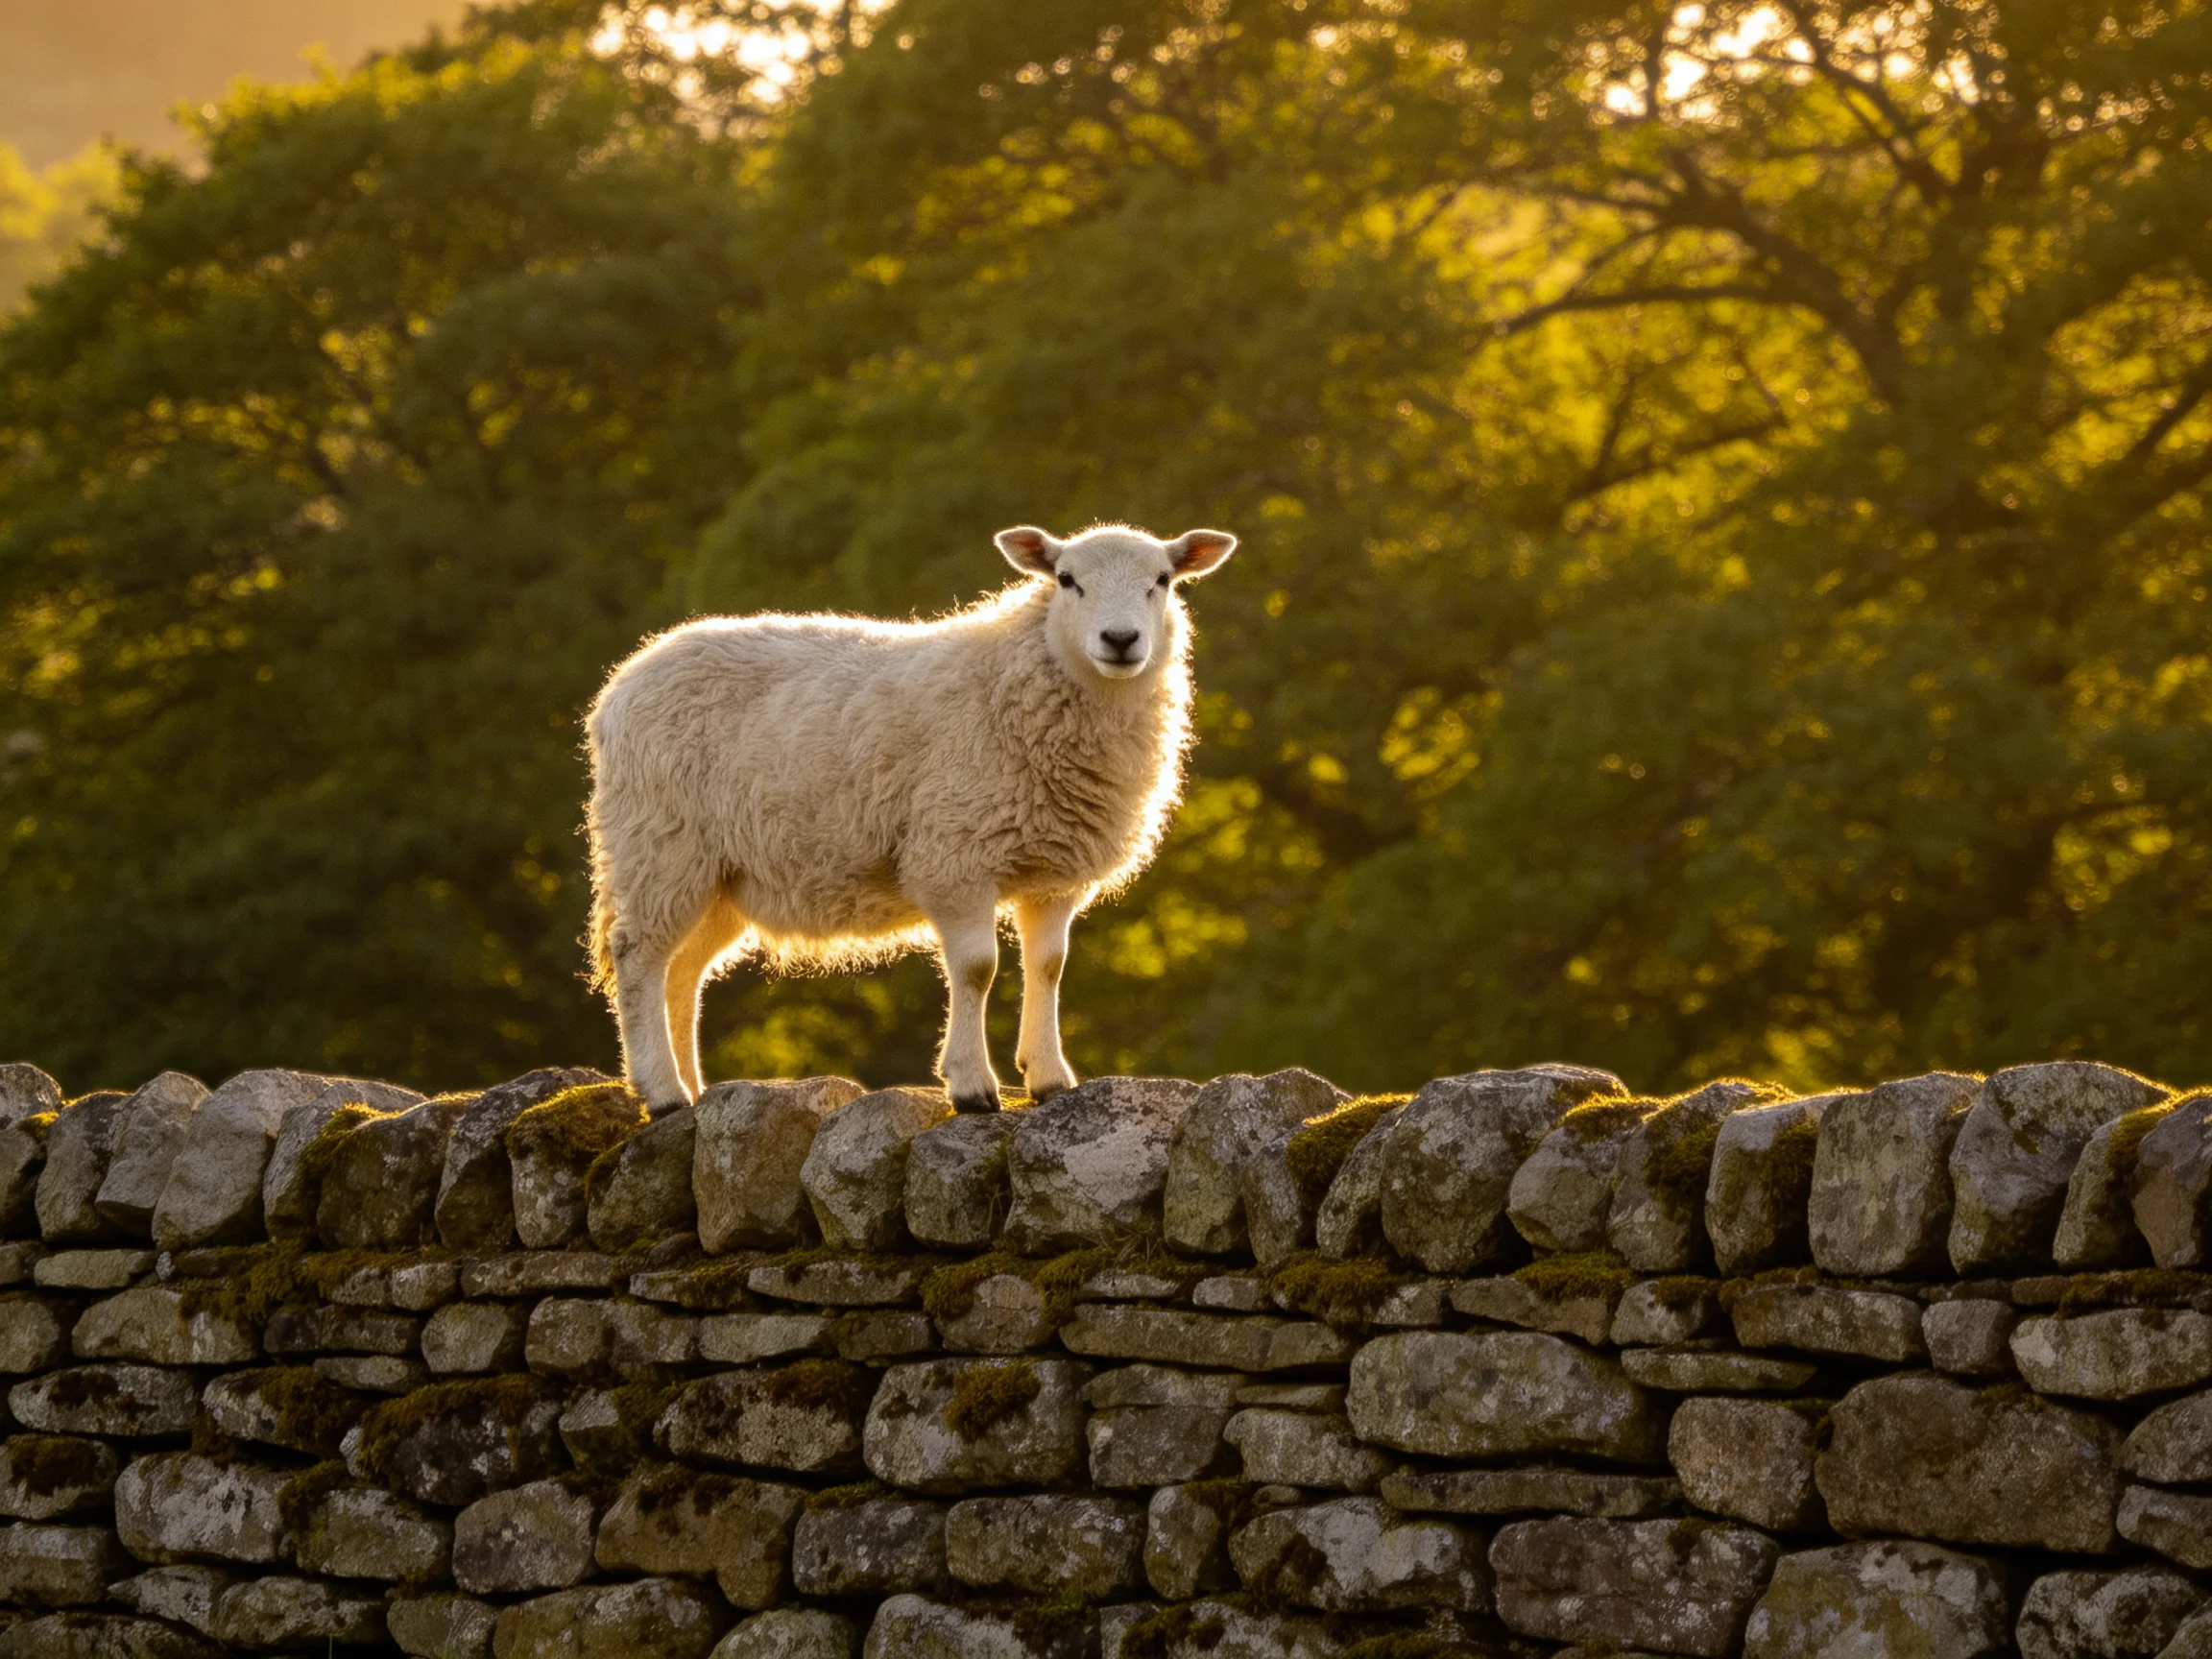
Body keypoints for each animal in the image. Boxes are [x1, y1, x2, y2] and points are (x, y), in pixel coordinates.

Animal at [584, 521, 1239, 1111]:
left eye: (1162, 580)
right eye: (1067, 580)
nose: (1121, 639)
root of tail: (622, 684)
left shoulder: (1054, 874)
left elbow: (1048, 967)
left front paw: (1050, 1078)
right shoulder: (955, 854)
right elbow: (976, 969)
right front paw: (972, 1087)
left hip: (720, 873)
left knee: (683, 970)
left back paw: (690, 1088)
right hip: (661, 843)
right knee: (639, 957)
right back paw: (663, 1093)